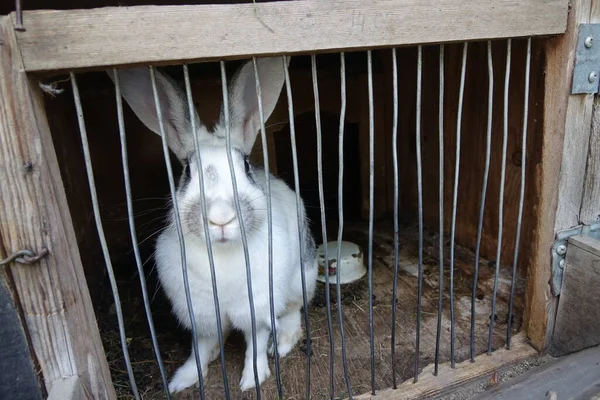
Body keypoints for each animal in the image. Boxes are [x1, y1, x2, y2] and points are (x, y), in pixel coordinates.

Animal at [112, 57, 318, 392]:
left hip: (302, 278)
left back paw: (283, 344)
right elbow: (202, 346)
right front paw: (182, 379)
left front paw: (252, 379)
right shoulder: (201, 313)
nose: (220, 217)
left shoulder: (257, 307)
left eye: (245, 166)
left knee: (293, 311)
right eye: (187, 172)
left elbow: (256, 343)